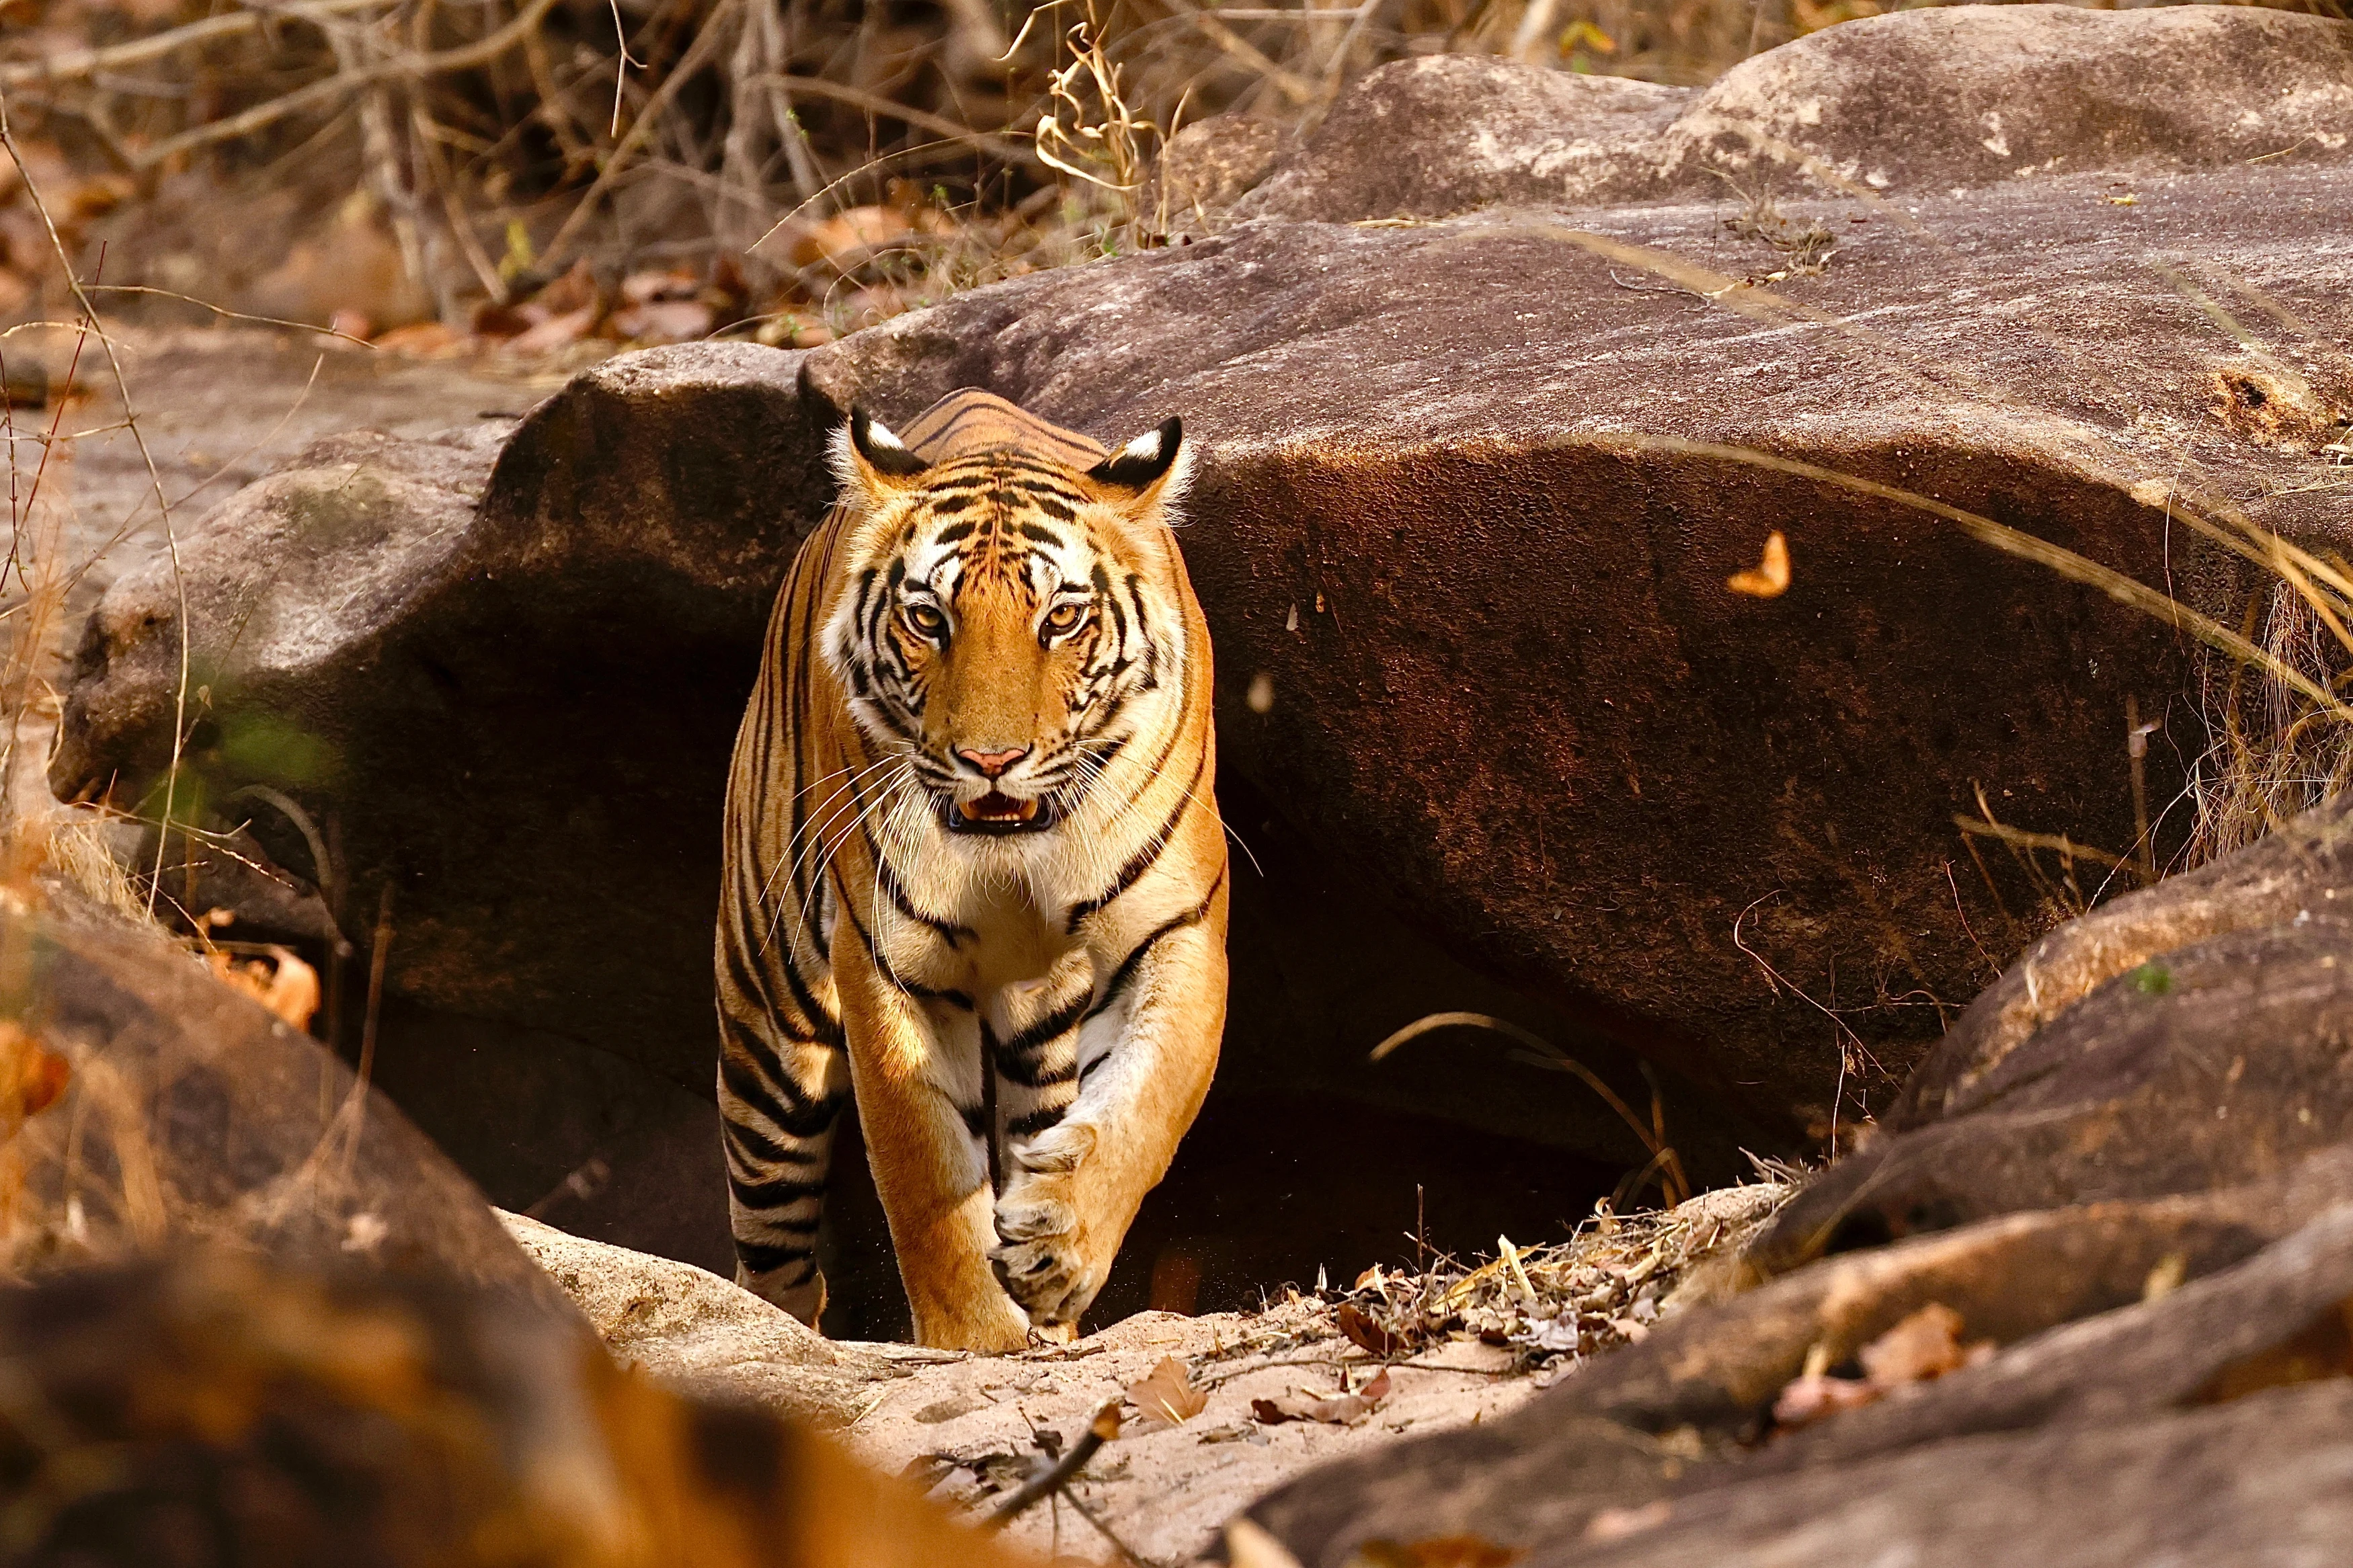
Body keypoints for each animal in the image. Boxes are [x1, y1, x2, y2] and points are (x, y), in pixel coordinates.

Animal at [713, 384, 1230, 1352]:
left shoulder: (1175, 930)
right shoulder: (886, 960)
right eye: (928, 619)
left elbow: (1145, 1101)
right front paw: (975, 1340)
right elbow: (924, 1173)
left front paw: (1058, 1244)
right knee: (775, 1258)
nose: (992, 760)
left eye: (1060, 617)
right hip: (770, 1025)